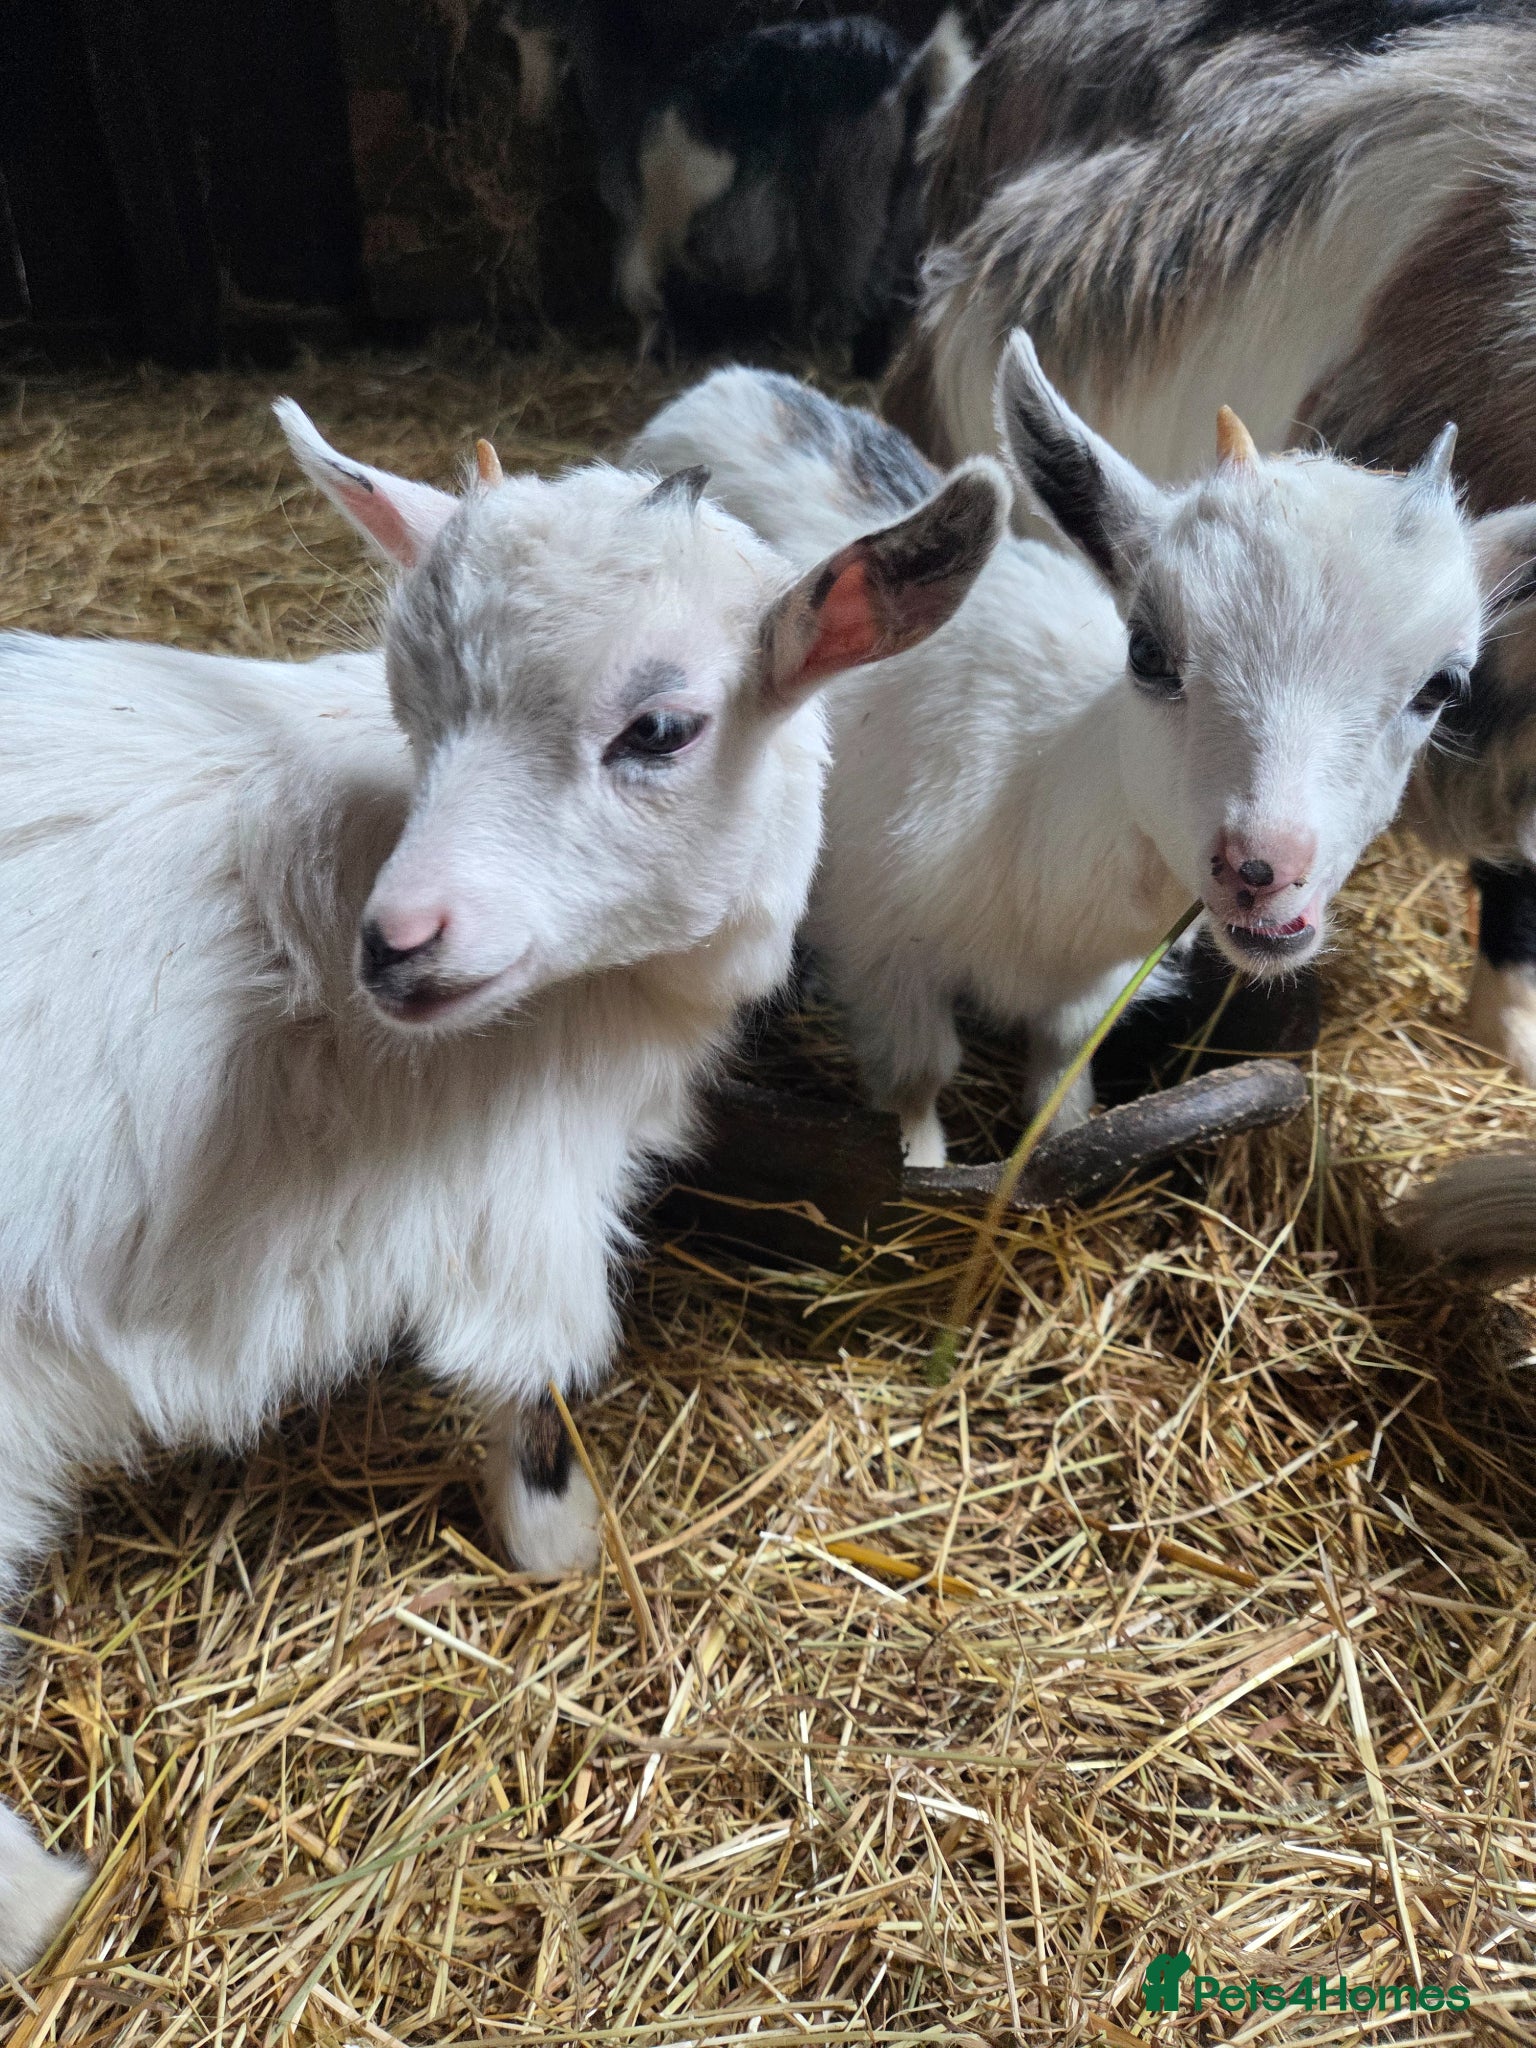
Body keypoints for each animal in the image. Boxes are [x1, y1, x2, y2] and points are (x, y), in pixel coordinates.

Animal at [0, 415, 1004, 1972]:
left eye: (661, 729)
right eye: (418, 706)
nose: (397, 946)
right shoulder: (521, 1192)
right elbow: (529, 1382)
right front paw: (559, 1543)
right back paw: (40, 1905)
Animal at [632, 343, 1536, 1163]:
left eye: (1442, 686)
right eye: (1146, 651)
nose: (1263, 869)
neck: (1035, 797)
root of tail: (738, 381)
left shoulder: (1090, 986)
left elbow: (1062, 1070)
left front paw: (1059, 1139)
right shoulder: (881, 947)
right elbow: (917, 1083)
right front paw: (922, 1167)